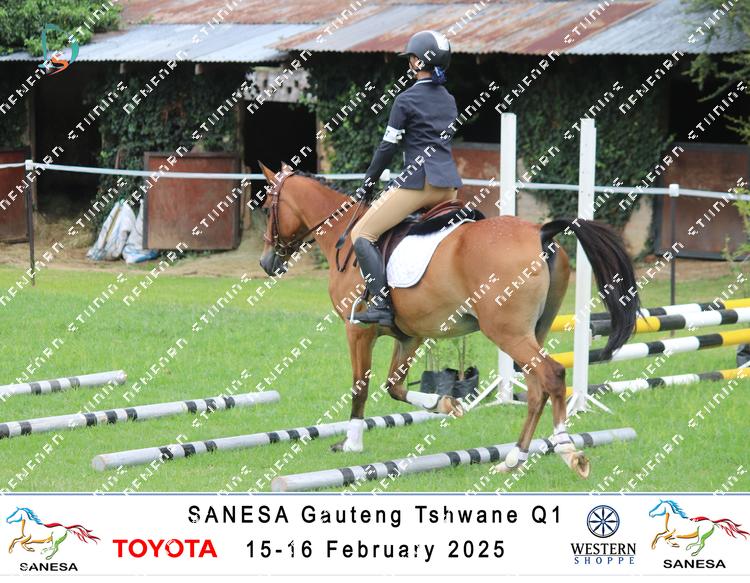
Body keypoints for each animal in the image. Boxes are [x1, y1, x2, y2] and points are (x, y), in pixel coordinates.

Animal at [256, 162, 639, 478]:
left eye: (265, 206)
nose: (266, 262)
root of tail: (540, 233)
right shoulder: (408, 335)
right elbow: (394, 386)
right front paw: (445, 404)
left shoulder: (358, 330)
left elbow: (360, 387)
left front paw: (351, 443)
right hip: (531, 333)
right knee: (535, 388)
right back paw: (513, 459)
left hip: (507, 332)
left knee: (552, 376)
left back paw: (567, 451)